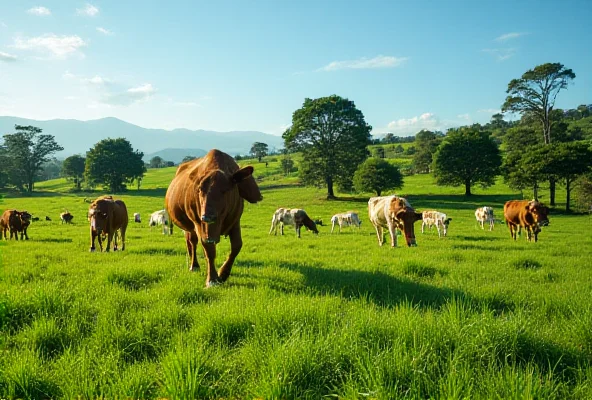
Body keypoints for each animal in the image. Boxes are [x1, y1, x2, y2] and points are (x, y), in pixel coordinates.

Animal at [164, 148, 262, 286]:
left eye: (225, 190)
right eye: (200, 190)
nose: (207, 216)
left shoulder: (235, 221)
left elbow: (236, 246)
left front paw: (223, 273)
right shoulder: (200, 224)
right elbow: (209, 249)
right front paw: (212, 279)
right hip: (190, 226)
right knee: (192, 242)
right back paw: (194, 265)